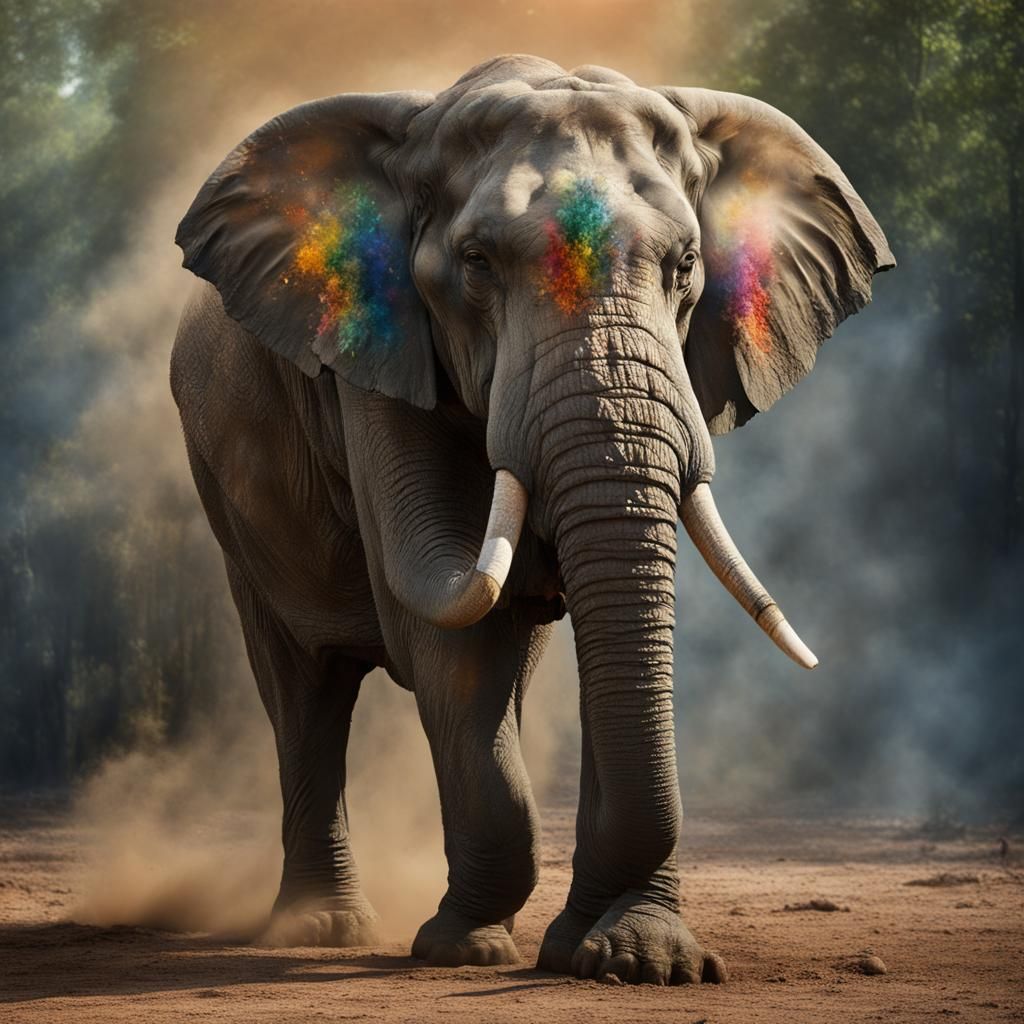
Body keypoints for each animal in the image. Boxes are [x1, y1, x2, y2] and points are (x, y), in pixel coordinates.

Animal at [171, 54, 892, 984]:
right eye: (476, 262)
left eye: (686, 264)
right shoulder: (375, 355)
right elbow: (445, 627)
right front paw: (465, 950)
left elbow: (601, 624)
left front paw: (635, 960)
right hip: (230, 501)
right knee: (304, 691)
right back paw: (320, 931)